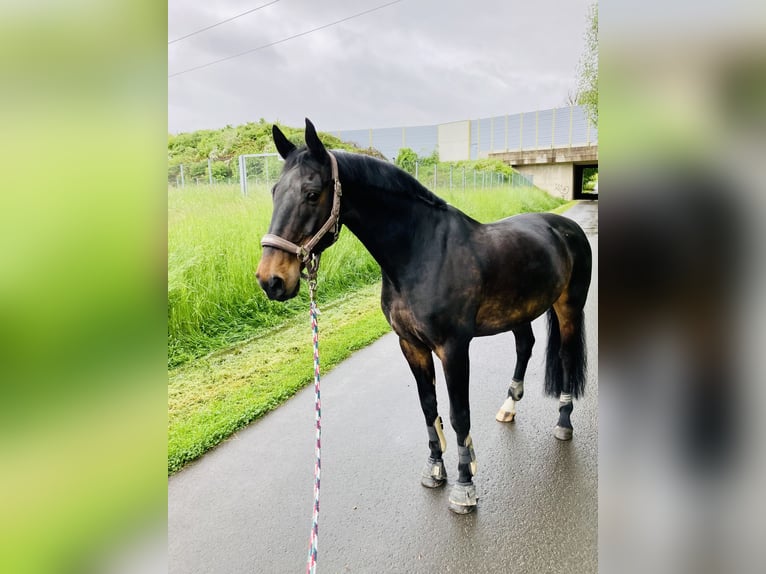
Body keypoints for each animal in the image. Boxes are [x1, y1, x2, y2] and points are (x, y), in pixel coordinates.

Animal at [256, 119, 592, 516]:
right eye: (275, 191)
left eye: (311, 193)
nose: (271, 280)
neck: (421, 253)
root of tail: (567, 229)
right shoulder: (411, 345)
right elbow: (428, 405)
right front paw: (434, 469)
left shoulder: (454, 349)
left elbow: (459, 413)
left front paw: (464, 487)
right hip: (518, 312)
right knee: (525, 346)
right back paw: (508, 407)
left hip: (568, 308)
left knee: (566, 357)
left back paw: (564, 423)